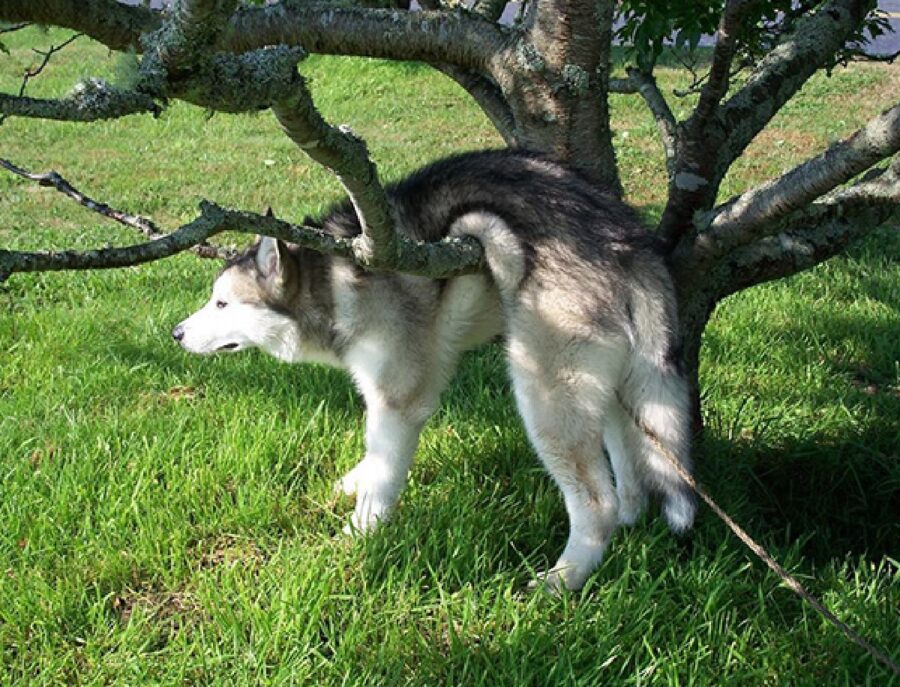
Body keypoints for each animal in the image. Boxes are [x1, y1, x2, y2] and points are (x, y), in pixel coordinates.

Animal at [174, 149, 696, 592]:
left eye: (222, 304)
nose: (176, 333)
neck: (334, 280)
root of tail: (628, 240)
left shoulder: (399, 397)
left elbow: (385, 472)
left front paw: (359, 533)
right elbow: (372, 455)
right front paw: (355, 482)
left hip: (544, 394)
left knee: (596, 501)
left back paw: (563, 578)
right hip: (610, 385)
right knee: (628, 461)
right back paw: (629, 517)